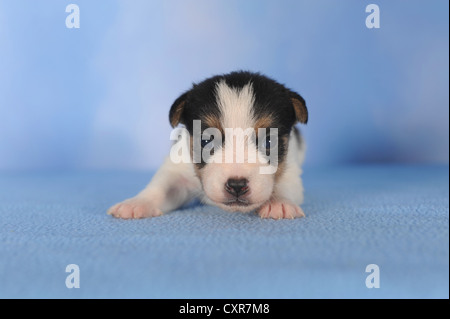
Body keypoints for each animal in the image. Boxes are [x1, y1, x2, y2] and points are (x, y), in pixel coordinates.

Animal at [107, 70, 308, 220]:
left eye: (269, 141)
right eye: (206, 140)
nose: (236, 185)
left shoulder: (291, 169)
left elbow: (285, 185)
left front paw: (279, 203)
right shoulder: (178, 169)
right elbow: (162, 186)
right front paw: (137, 203)